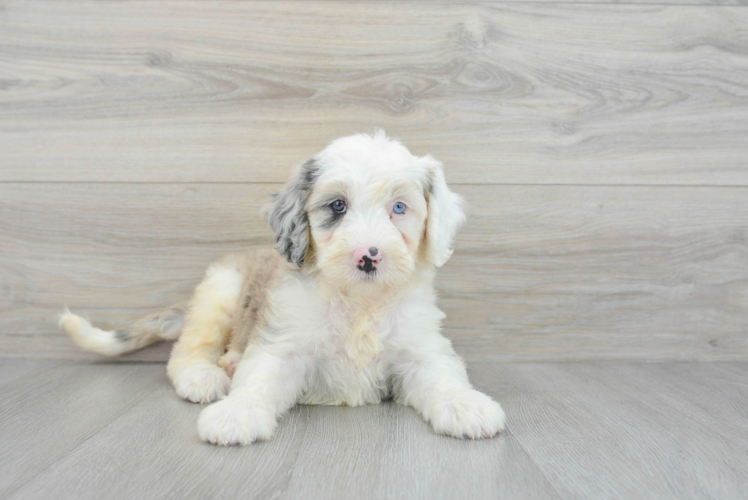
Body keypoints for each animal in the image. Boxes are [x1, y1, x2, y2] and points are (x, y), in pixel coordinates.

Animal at [60, 132, 508, 446]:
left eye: (399, 208)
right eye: (338, 206)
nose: (368, 257)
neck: (359, 304)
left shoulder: (420, 349)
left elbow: (442, 377)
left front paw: (468, 406)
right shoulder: (282, 344)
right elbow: (260, 378)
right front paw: (236, 415)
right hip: (221, 290)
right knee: (187, 350)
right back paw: (206, 376)